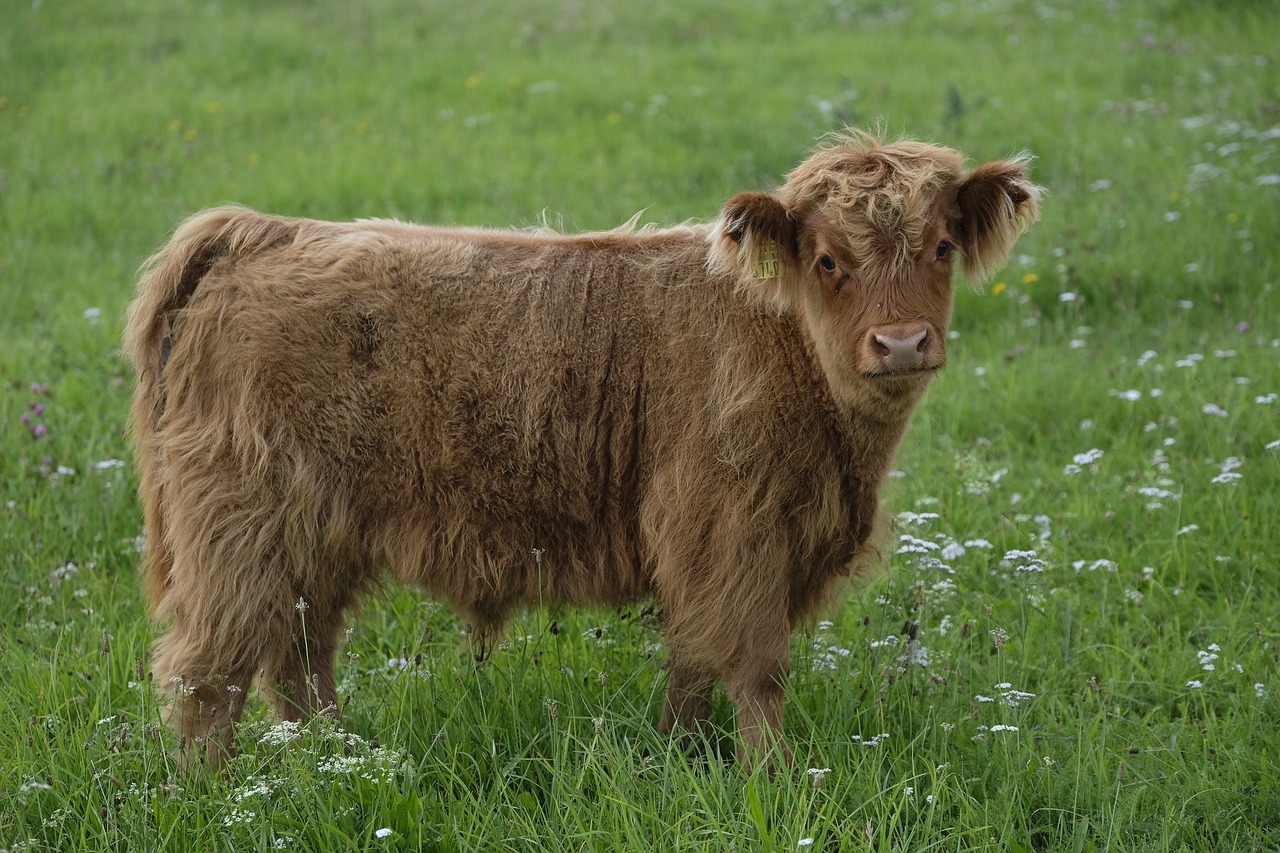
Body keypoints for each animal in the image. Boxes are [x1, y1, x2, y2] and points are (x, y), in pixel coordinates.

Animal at [124, 129, 1039, 768]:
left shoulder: (709, 545)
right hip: (240, 523)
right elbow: (754, 663)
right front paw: (775, 779)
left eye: (942, 247)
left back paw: (329, 762)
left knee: (301, 651)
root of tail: (260, 231)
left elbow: (692, 659)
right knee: (211, 669)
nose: (902, 342)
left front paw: (678, 754)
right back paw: (223, 792)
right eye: (826, 259)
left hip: (317, 532)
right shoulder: (730, 528)